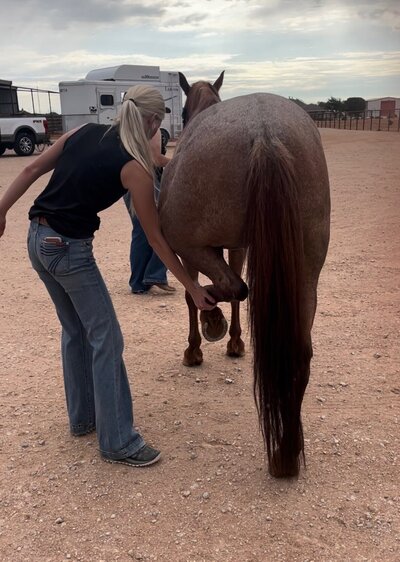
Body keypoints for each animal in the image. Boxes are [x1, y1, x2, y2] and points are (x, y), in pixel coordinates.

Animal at [158, 72, 330, 474]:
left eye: (182, 111)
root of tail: (265, 133)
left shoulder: (193, 253)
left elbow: (193, 293)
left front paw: (199, 342)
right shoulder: (239, 245)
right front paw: (234, 340)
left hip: (189, 244)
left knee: (234, 287)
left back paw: (212, 318)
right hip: (306, 271)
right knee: (297, 350)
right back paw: (286, 455)